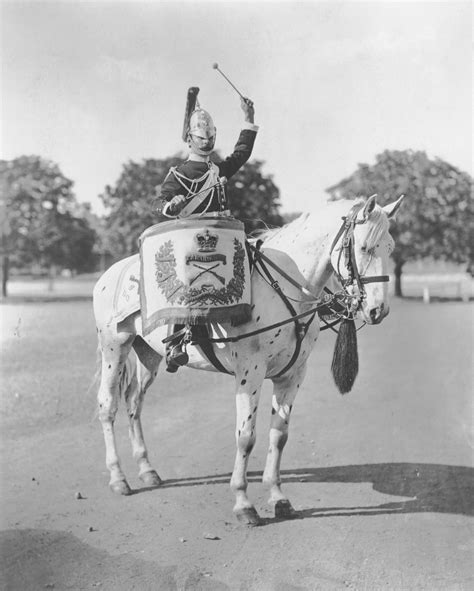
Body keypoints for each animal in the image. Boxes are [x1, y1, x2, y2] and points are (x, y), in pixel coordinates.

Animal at [93, 195, 404, 528]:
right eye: (364, 247)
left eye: (390, 247)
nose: (378, 310)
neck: (284, 289)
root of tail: (109, 274)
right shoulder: (249, 374)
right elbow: (246, 437)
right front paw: (243, 503)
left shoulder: (292, 375)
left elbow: (279, 436)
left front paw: (279, 498)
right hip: (114, 347)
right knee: (108, 406)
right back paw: (118, 477)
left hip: (148, 355)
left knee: (134, 402)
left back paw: (147, 469)